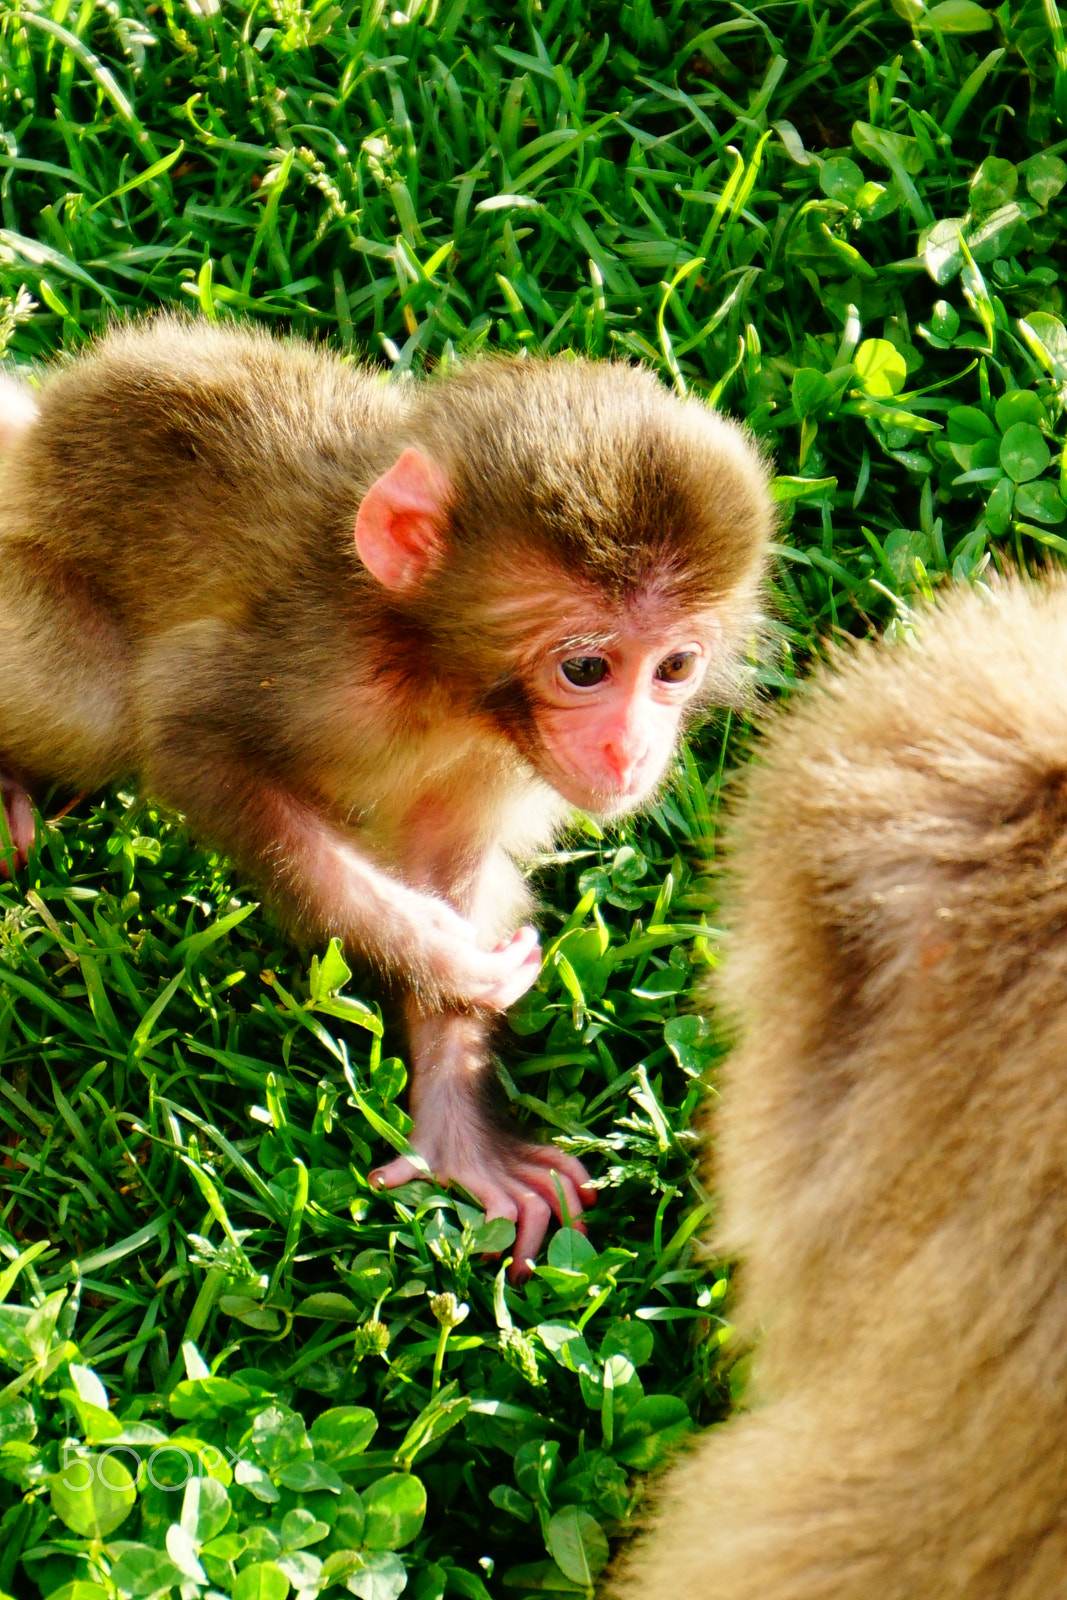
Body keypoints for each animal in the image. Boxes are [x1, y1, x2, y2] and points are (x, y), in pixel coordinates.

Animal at [0, 316, 772, 1273]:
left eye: (673, 667)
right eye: (587, 668)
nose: (629, 749)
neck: (440, 679)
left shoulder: (495, 755)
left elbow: (443, 848)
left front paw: (459, 1135)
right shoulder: (317, 658)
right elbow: (187, 743)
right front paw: (441, 954)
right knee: (96, 704)